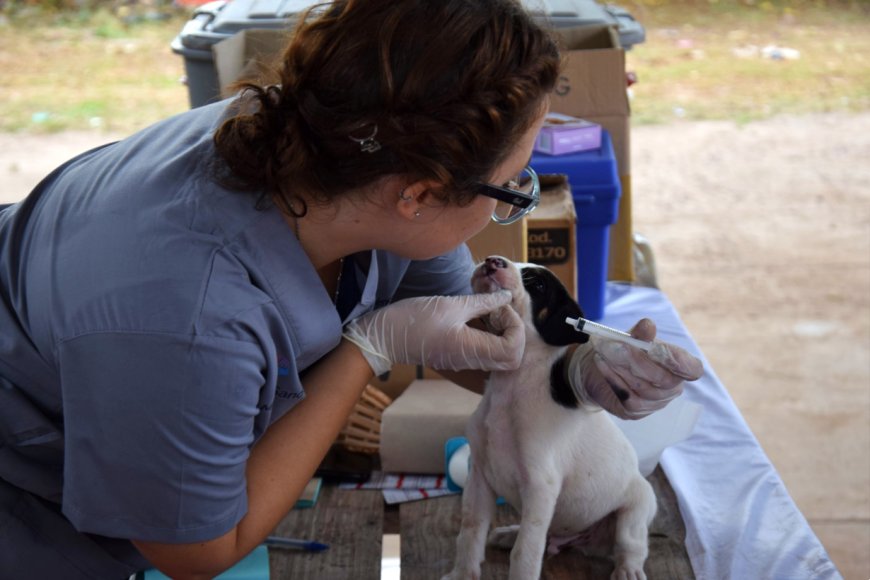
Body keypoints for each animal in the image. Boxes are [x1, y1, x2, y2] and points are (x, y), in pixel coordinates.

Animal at [442, 258, 656, 580]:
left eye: (539, 285)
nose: (493, 261)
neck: (511, 389)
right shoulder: (479, 478)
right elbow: (470, 532)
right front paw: (462, 574)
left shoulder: (540, 488)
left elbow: (525, 552)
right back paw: (509, 533)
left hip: (636, 510)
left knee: (631, 546)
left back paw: (628, 570)